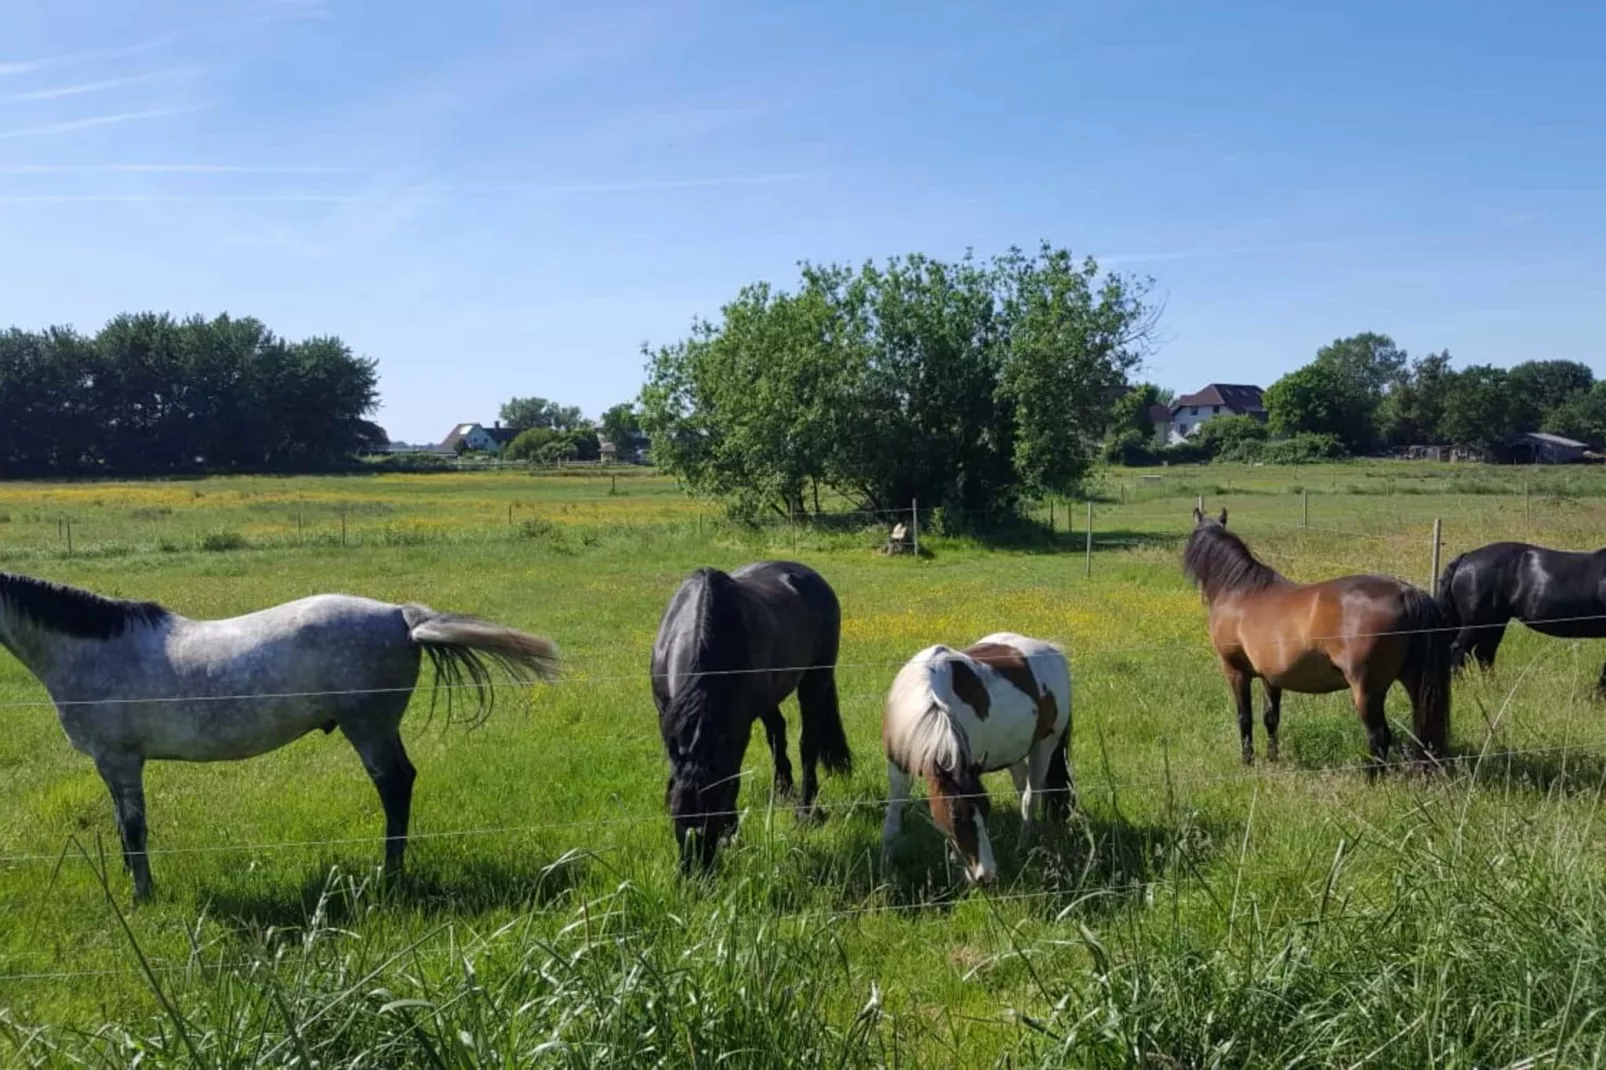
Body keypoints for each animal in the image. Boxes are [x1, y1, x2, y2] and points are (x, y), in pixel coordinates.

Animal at [0, 565, 558, 899]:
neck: (92, 649)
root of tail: (401, 615)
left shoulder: (119, 759)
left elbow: (135, 829)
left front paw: (143, 896)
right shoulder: (112, 765)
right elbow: (121, 826)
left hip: (368, 727)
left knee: (395, 786)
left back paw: (390, 877)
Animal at [648, 559, 860, 867]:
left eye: (713, 816)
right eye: (677, 816)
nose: (696, 873)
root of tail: (811, 576)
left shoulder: (737, 728)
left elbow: (732, 774)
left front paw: (731, 832)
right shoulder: (667, 718)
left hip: (816, 678)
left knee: (807, 743)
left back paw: (805, 810)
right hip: (768, 697)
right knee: (778, 733)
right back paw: (783, 791)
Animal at [886, 629, 1072, 880]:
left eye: (987, 810)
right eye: (956, 816)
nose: (986, 874)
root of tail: (1052, 650)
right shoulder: (898, 766)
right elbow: (893, 817)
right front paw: (886, 863)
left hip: (1045, 746)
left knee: (1030, 798)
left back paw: (1022, 847)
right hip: (1013, 754)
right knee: (1022, 787)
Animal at [1182, 504, 1458, 771]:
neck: (1240, 591)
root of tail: (1405, 592)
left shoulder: (1235, 671)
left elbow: (1244, 718)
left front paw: (1248, 762)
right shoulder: (1270, 677)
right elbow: (1270, 718)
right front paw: (1273, 759)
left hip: (1367, 690)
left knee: (1379, 736)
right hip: (1414, 682)